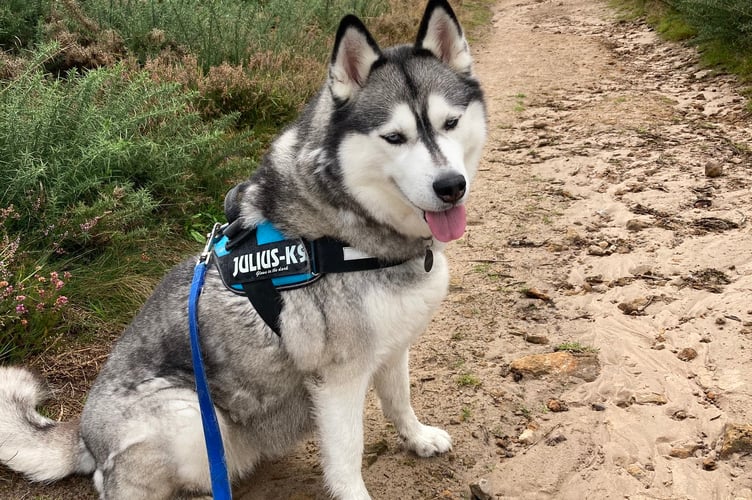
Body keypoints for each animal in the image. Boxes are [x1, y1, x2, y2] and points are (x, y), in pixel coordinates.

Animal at [0, 1, 488, 498]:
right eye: (394, 137)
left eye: (450, 123)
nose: (451, 186)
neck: (348, 228)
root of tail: (83, 438)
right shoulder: (338, 379)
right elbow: (347, 457)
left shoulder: (392, 346)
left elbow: (399, 400)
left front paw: (417, 438)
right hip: (191, 417)